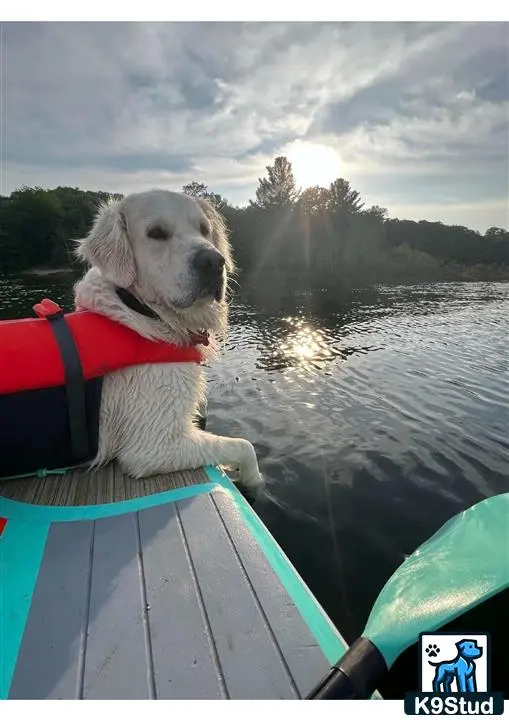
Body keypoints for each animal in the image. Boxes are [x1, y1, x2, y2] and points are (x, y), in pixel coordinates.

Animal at [75, 187, 266, 500]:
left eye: (204, 228)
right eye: (156, 233)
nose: (213, 261)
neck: (141, 308)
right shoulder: (152, 447)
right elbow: (243, 446)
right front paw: (255, 481)